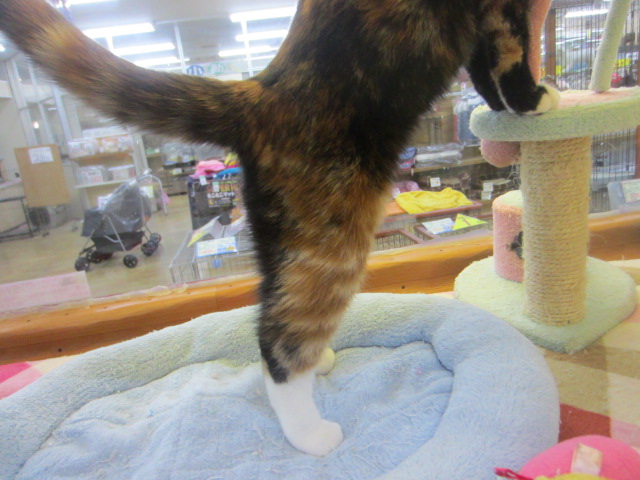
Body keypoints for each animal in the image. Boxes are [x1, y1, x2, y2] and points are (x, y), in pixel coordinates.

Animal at [0, 0, 559, 456]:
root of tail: (262, 91)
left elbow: (484, 75)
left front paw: (502, 109)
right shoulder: (499, 12)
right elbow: (508, 60)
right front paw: (535, 100)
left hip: (286, 236)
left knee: (273, 307)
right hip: (334, 239)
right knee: (278, 344)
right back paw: (308, 431)